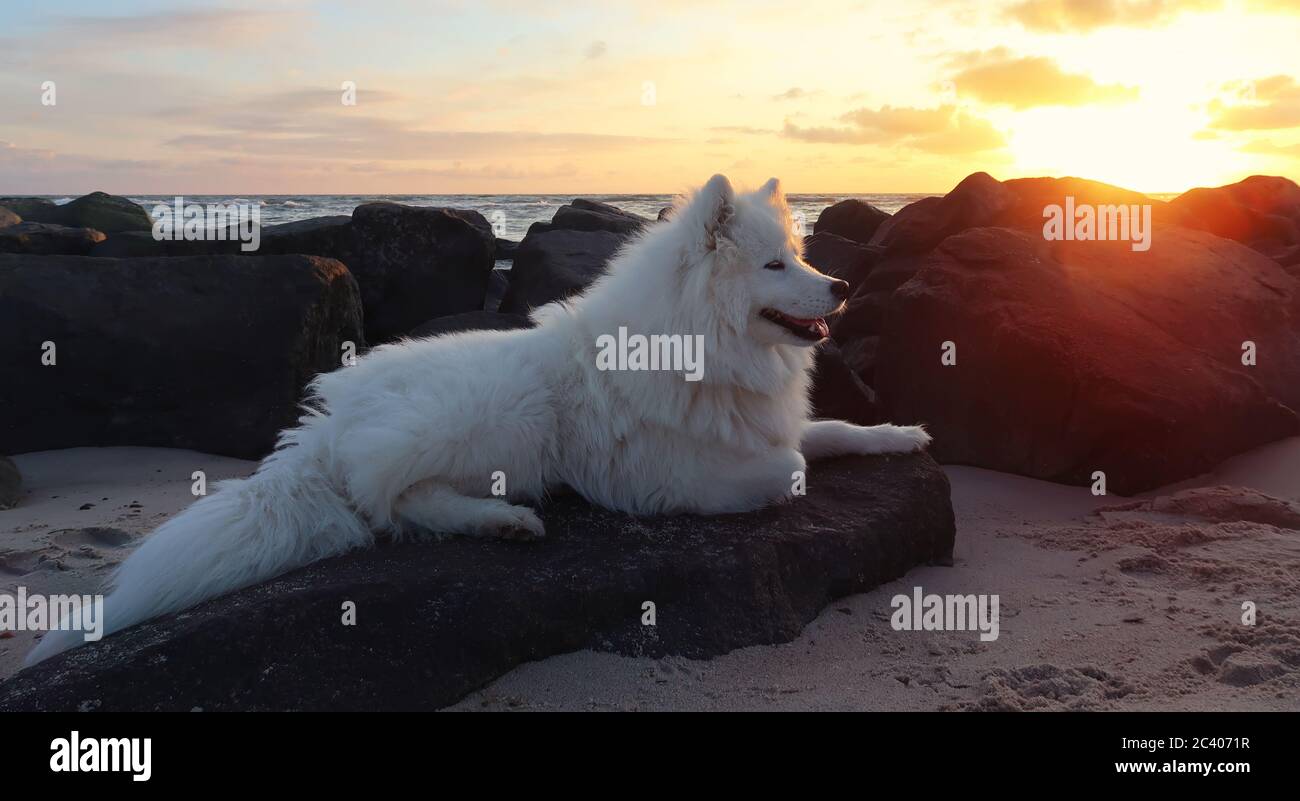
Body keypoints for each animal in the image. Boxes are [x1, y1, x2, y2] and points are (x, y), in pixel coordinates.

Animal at [25, 175, 930, 663]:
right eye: (777, 264)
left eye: (803, 257)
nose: (841, 287)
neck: (703, 343)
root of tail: (321, 432)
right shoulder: (671, 476)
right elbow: (794, 467)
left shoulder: (757, 423)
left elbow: (830, 435)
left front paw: (903, 433)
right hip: (499, 415)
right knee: (391, 502)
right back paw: (502, 520)